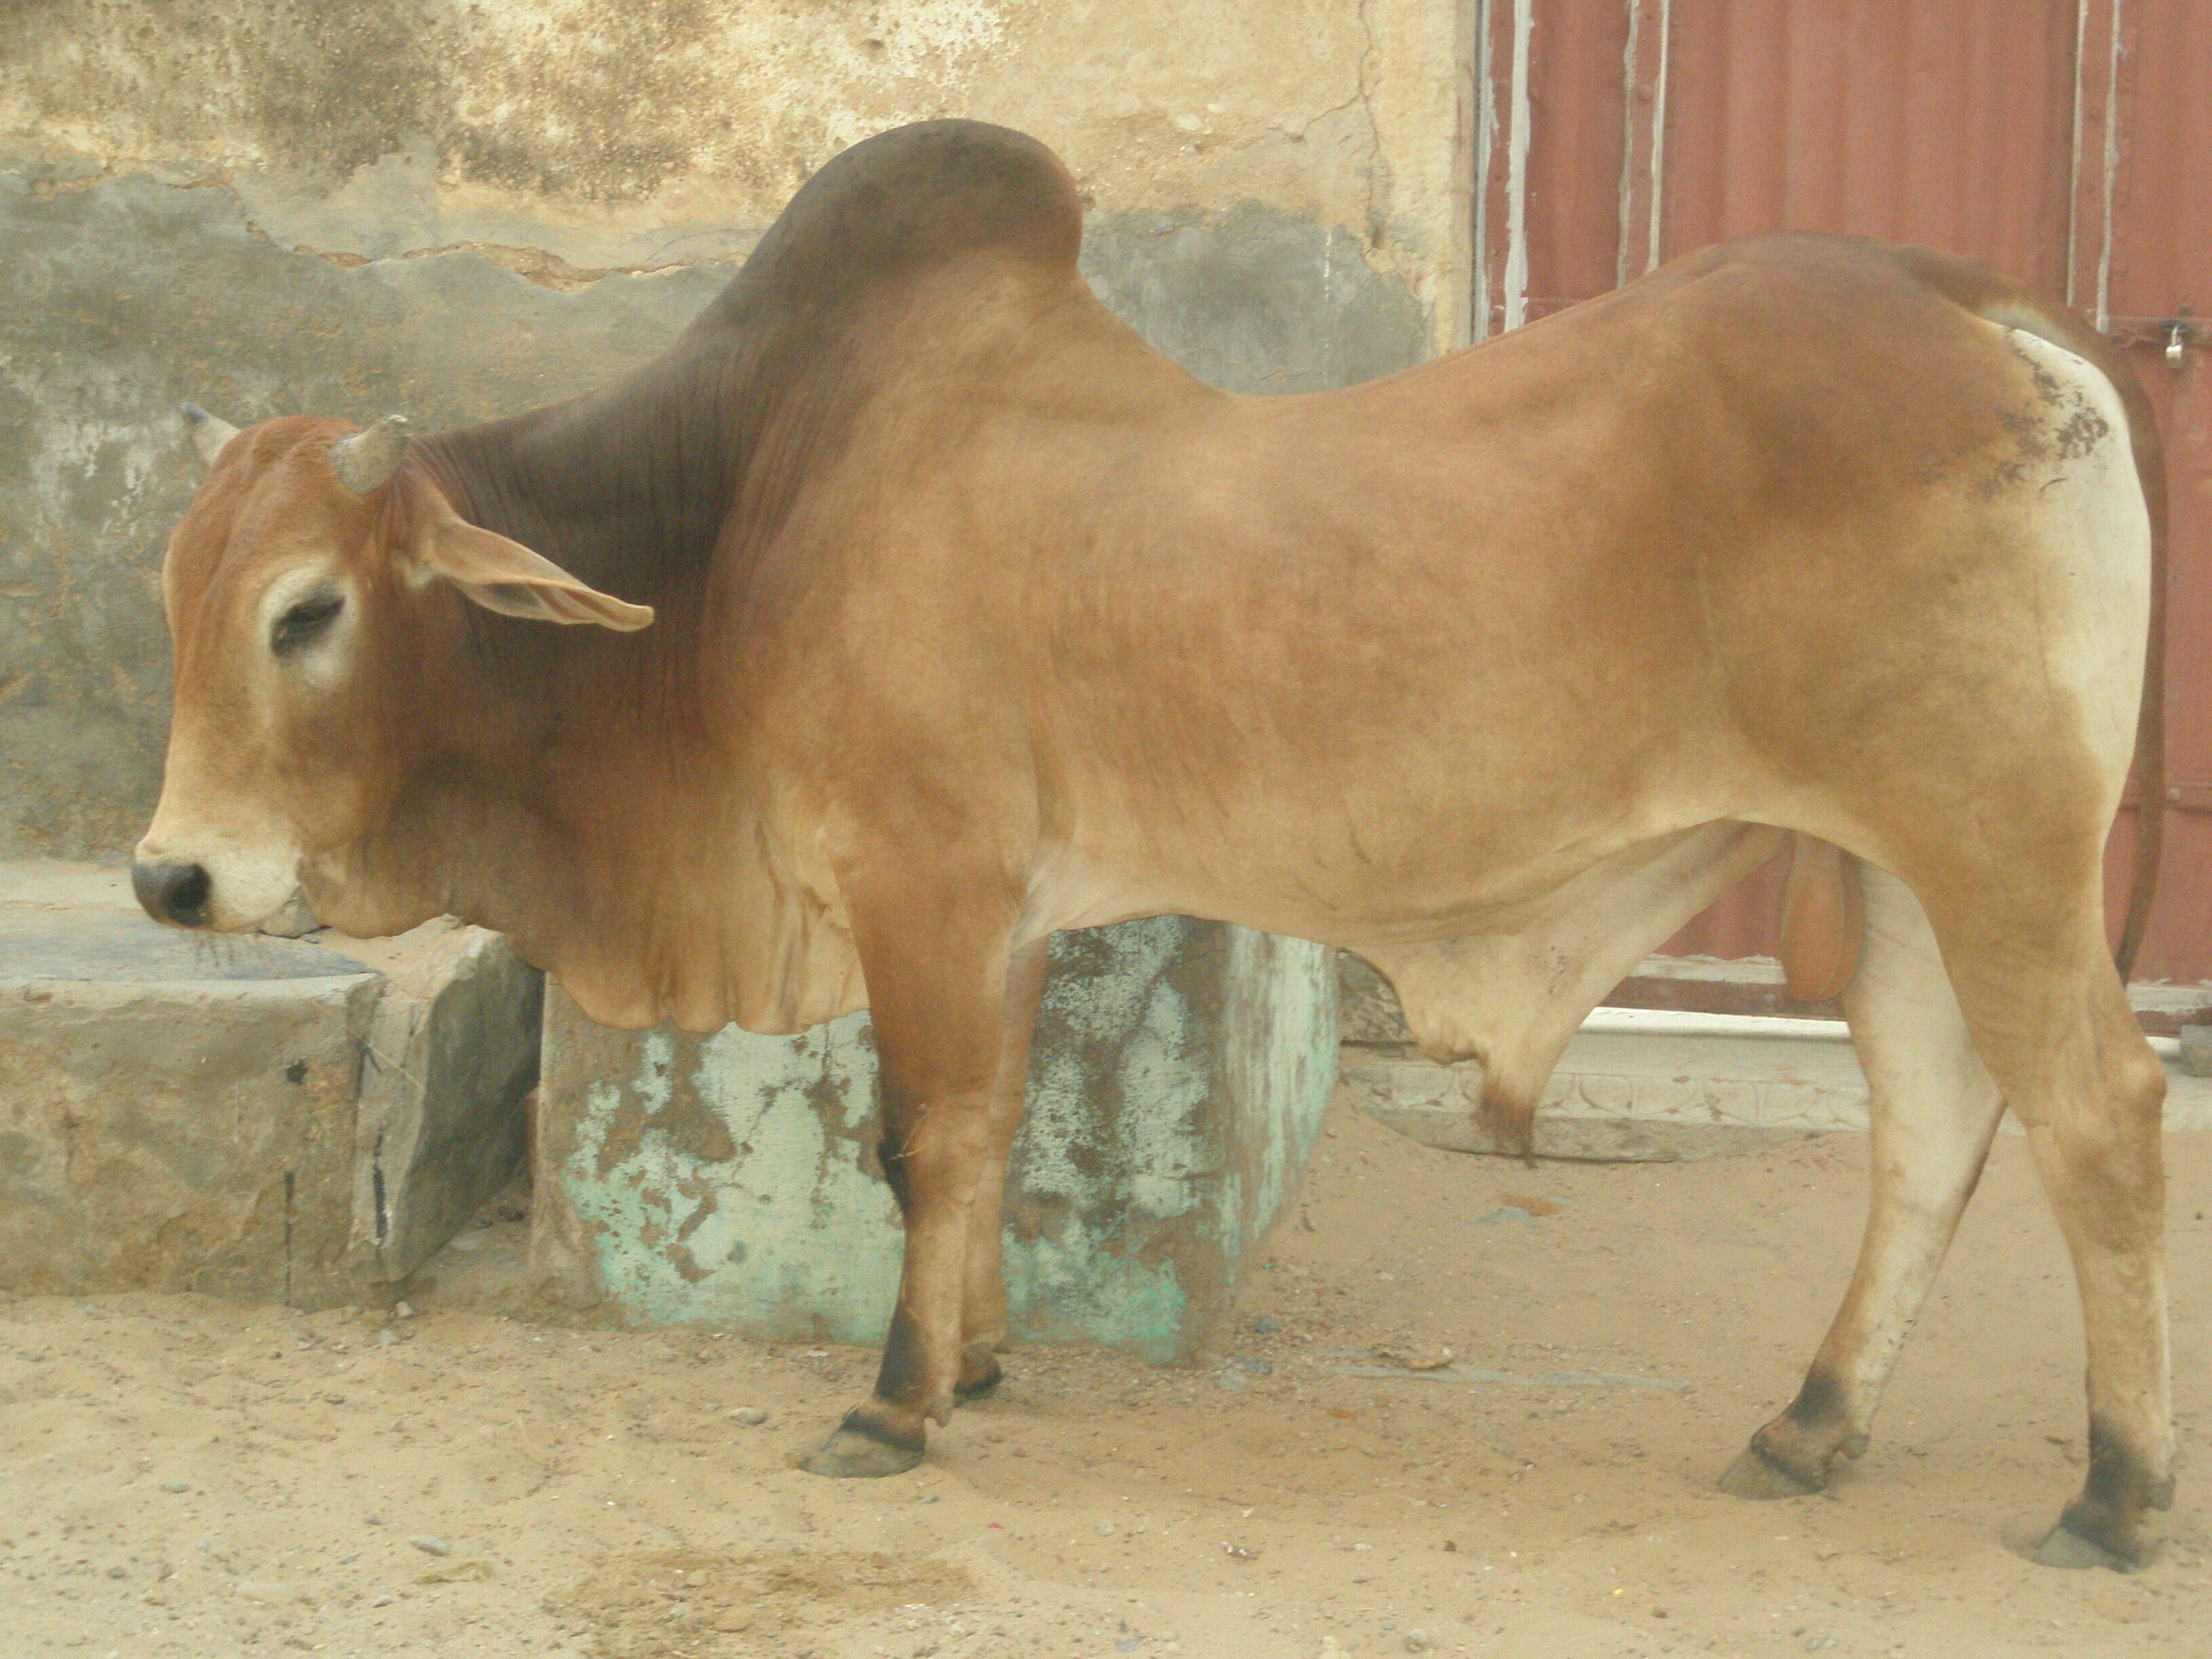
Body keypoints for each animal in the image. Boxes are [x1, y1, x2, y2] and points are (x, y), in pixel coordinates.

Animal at [133, 120, 2170, 1569]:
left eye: (307, 610)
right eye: (176, 594)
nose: (171, 877)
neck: (746, 508)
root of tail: (1983, 300)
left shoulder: (923, 877)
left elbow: (924, 1136)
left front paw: (894, 1404)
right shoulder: (1007, 912)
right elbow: (989, 1128)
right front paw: (981, 1357)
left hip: (1996, 846)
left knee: (2098, 1113)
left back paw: (2118, 1492)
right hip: (1901, 871)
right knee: (1932, 1126)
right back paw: (1809, 1425)